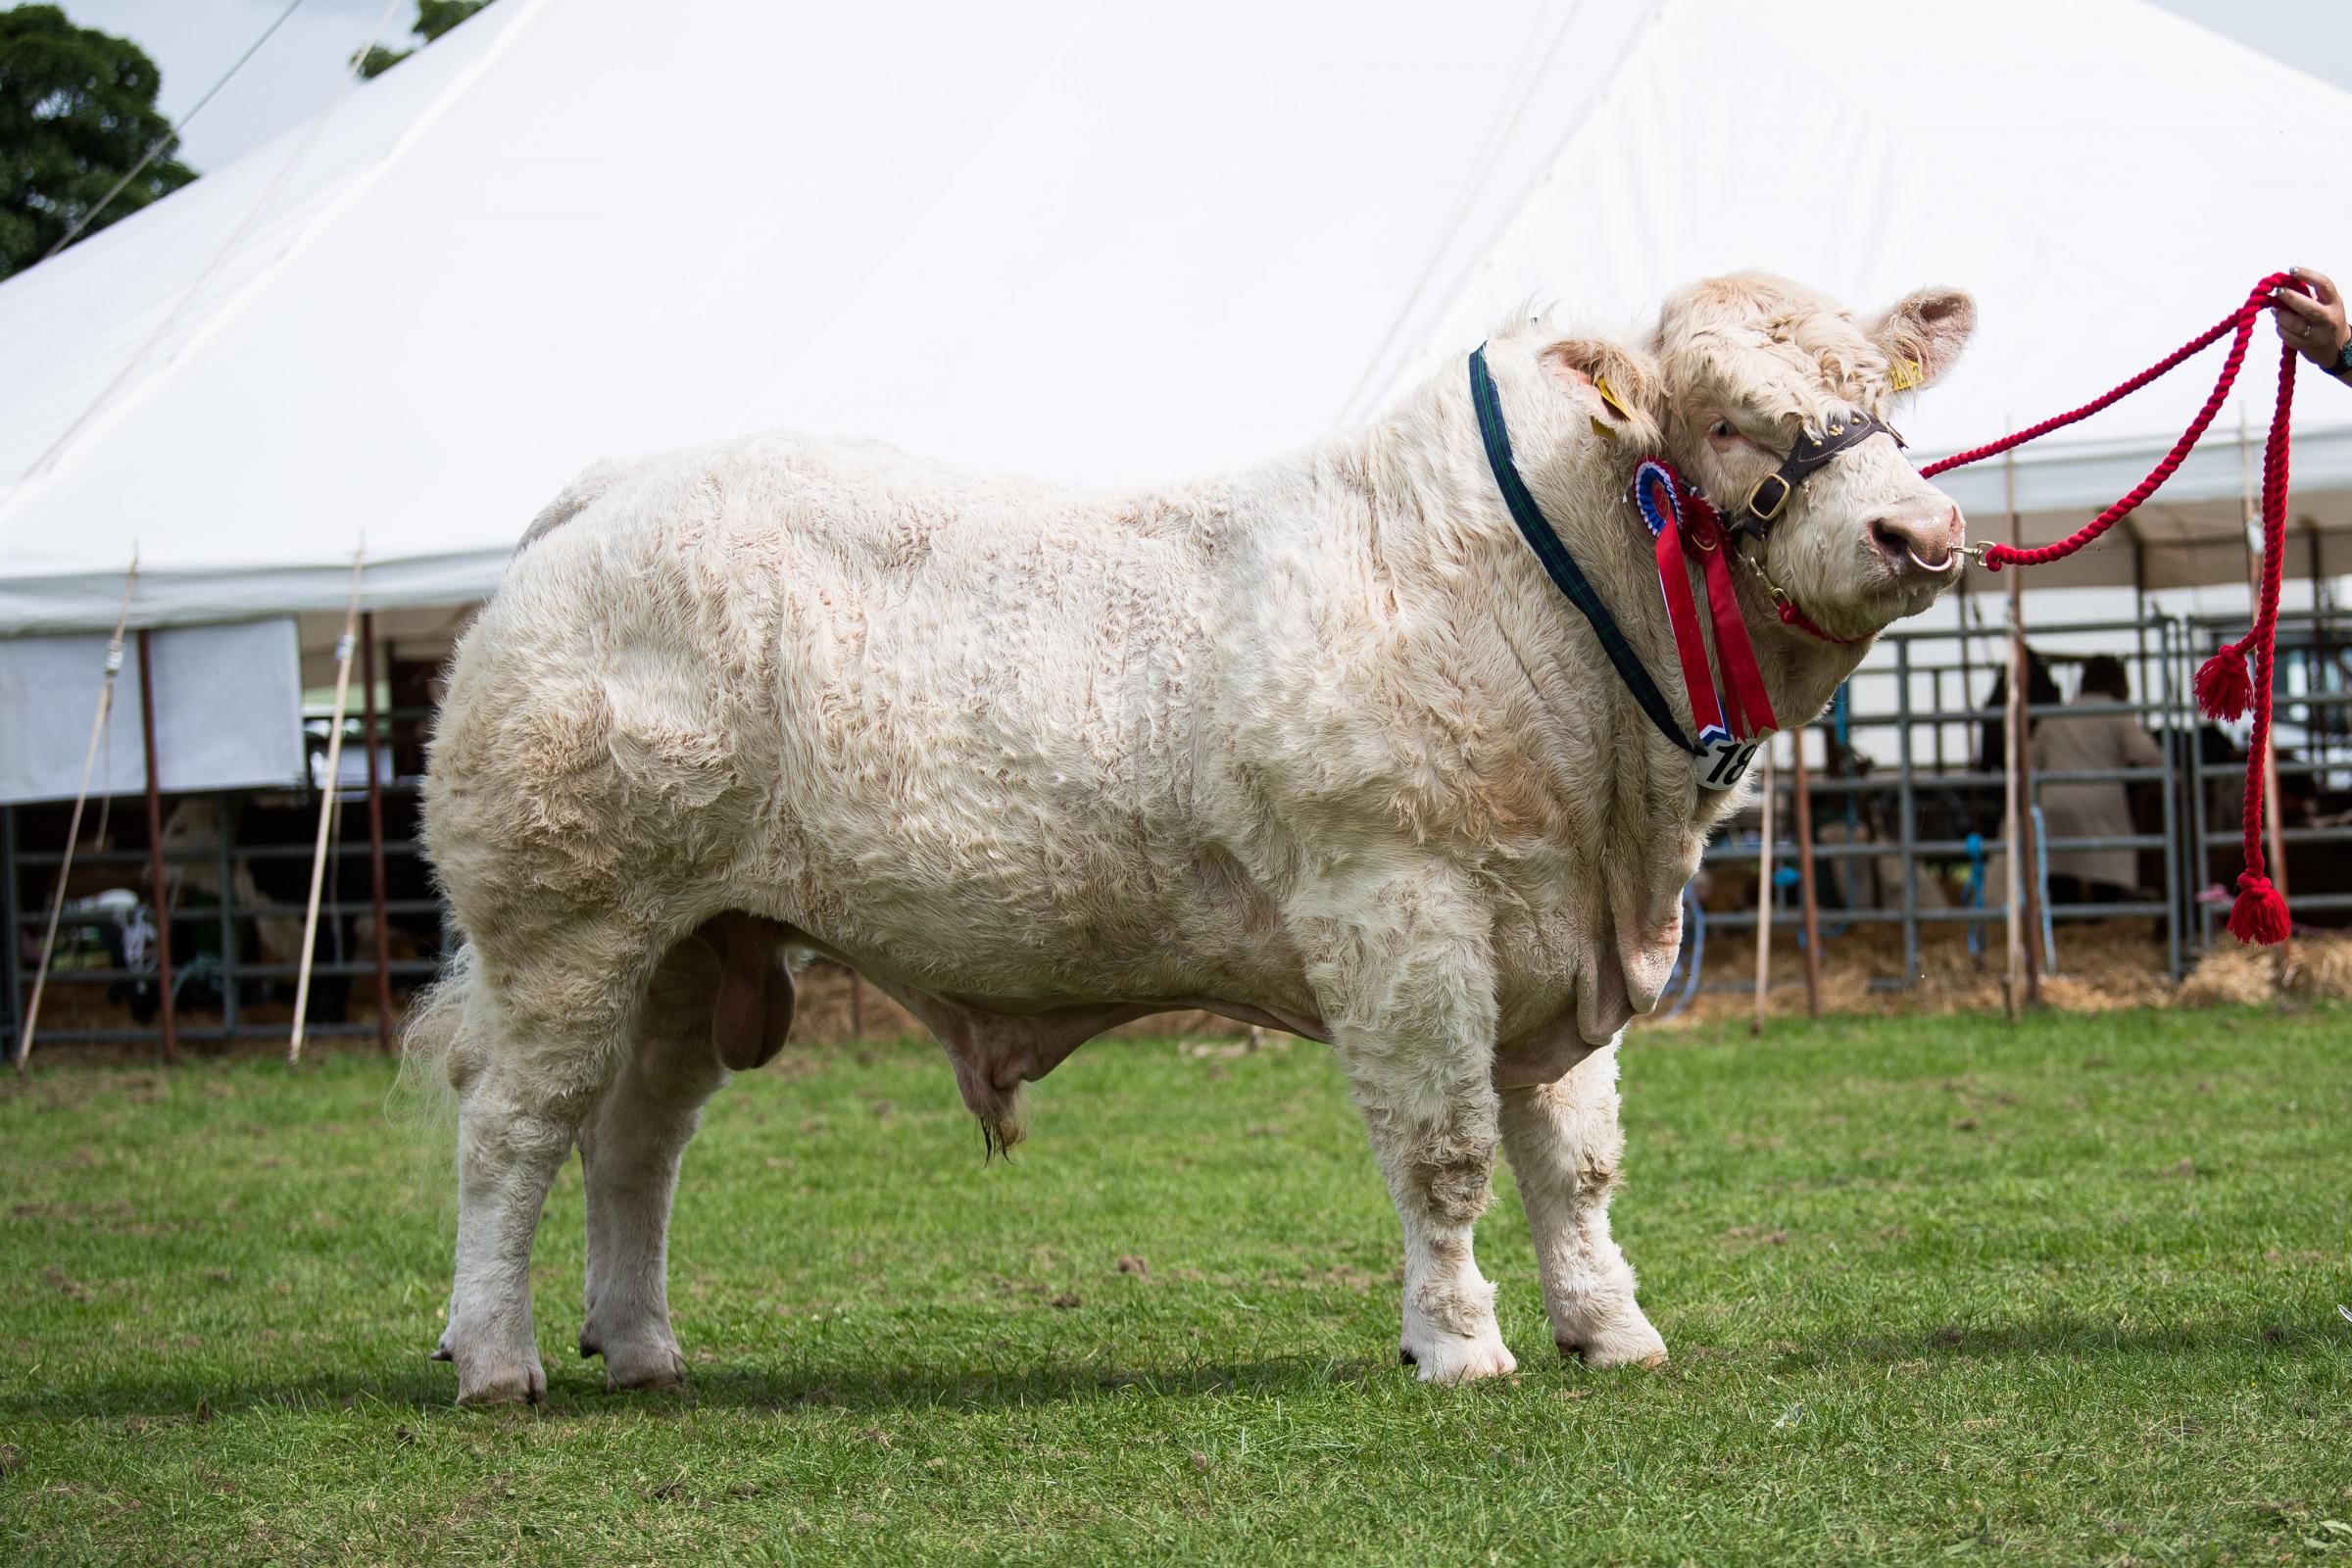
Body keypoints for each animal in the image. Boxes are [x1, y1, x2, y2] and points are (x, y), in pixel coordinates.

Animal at [414, 267, 1976, 1400]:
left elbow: (1574, 1158)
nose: (1921, 531)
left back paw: (643, 1346)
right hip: (567, 923)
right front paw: (1460, 1345)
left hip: (693, 938)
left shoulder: (1554, 930)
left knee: (635, 1138)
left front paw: (1610, 1329)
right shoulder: (1399, 909)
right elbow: (1445, 1147)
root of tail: (614, 491)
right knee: (512, 1128)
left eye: (1880, 398)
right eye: (1728, 420)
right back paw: (498, 1359)